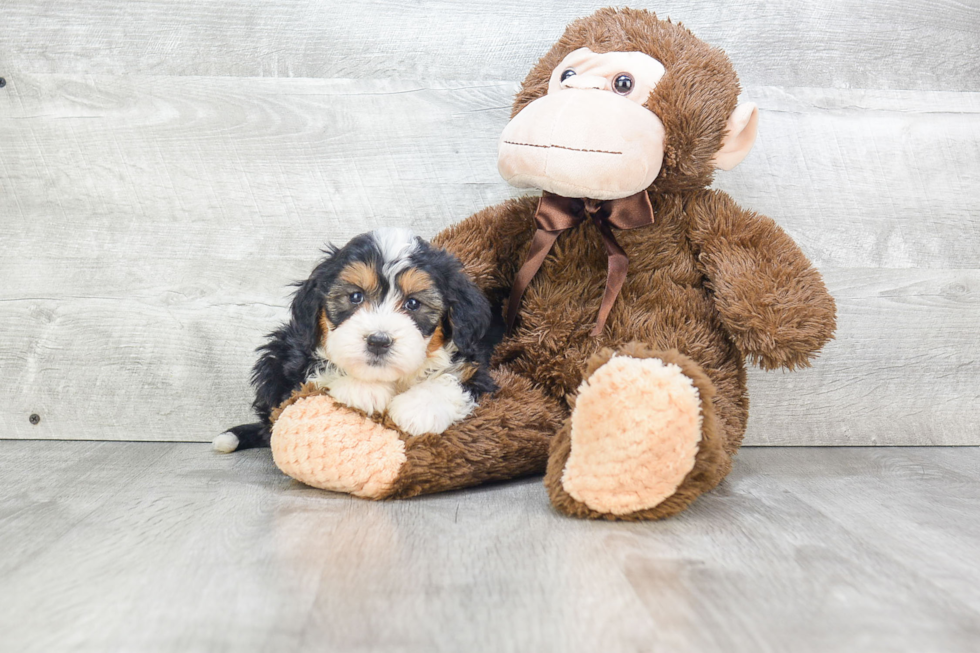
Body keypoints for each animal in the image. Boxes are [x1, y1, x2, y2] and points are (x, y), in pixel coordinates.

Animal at [212, 229, 494, 454]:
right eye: (355, 297)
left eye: (413, 303)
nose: (378, 341)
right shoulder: (296, 365)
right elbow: (319, 374)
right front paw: (364, 390)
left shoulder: (478, 371)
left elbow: (453, 380)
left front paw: (418, 410)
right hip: (276, 355)